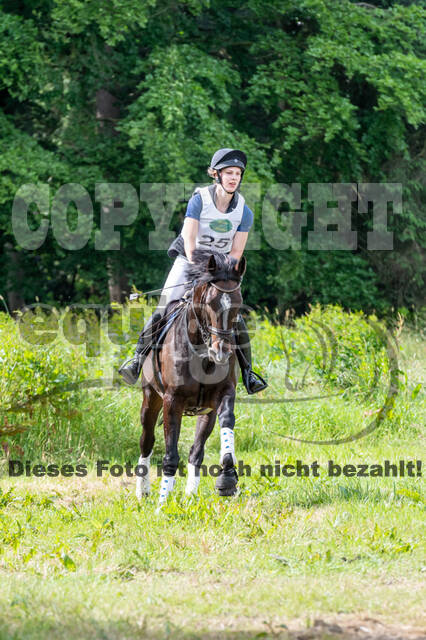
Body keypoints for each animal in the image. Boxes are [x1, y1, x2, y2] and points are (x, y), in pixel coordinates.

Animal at [135, 249, 246, 507]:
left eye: (238, 303)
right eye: (210, 303)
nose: (222, 352)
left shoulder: (223, 394)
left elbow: (226, 424)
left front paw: (227, 479)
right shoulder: (172, 401)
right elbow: (170, 453)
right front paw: (162, 503)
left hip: (205, 412)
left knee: (196, 450)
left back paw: (189, 495)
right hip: (151, 398)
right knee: (147, 441)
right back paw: (143, 491)